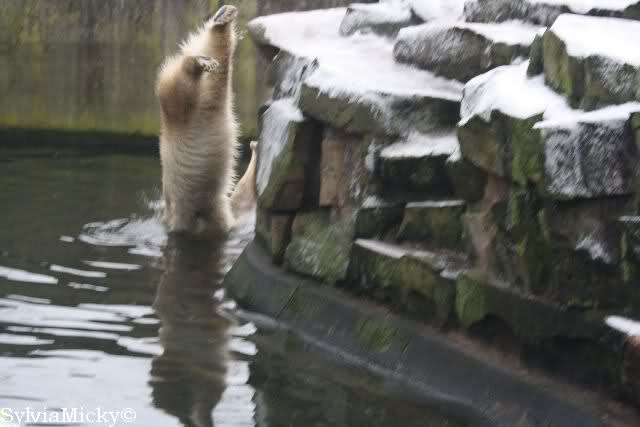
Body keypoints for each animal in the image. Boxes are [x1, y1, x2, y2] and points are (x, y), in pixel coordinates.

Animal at [156, 5, 250, 236]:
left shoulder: (218, 215)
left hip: (205, 112)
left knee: (217, 83)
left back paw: (223, 20)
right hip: (178, 122)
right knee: (180, 91)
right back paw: (198, 62)